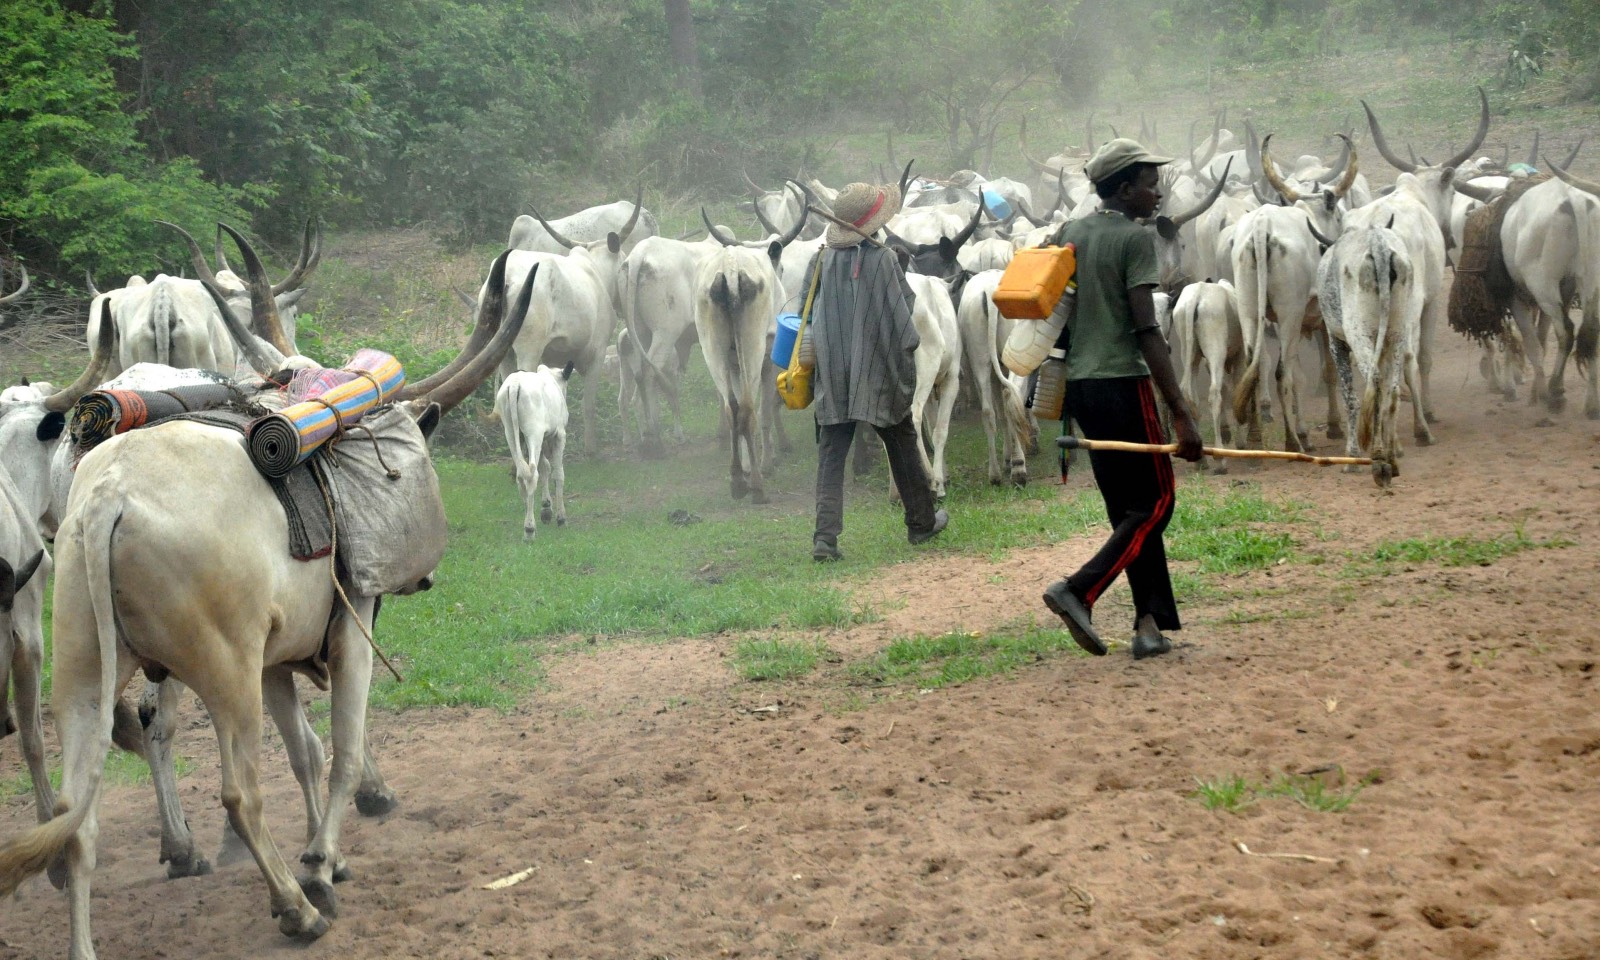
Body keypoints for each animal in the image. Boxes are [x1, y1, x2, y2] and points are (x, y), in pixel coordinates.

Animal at [499, 361, 582, 537]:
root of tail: (515, 384)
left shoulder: (543, 438)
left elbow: (545, 468)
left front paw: (546, 508)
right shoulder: (559, 435)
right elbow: (558, 474)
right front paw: (560, 517)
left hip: (511, 433)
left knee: (521, 474)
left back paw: (528, 518)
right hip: (533, 433)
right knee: (531, 474)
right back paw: (529, 529)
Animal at [1318, 222, 1433, 483]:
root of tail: (1378, 244)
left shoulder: (1336, 341)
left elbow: (1350, 398)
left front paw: (1351, 457)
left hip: (1359, 333)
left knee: (1376, 383)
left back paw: (1379, 461)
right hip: (1397, 332)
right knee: (1392, 389)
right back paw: (1390, 457)